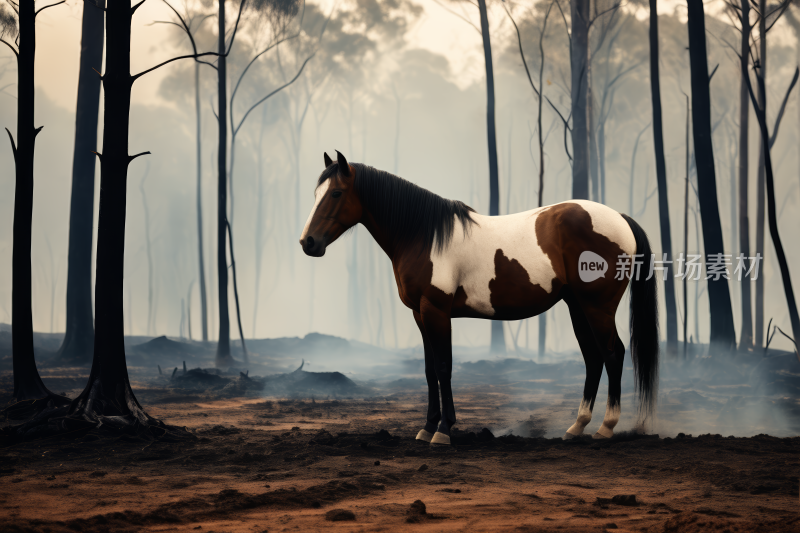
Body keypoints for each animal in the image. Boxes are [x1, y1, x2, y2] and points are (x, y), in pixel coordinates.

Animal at [298, 151, 656, 444]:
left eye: (336, 193)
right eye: (316, 194)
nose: (307, 242)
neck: (423, 235)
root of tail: (621, 218)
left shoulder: (436, 310)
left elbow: (444, 367)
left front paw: (443, 431)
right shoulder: (419, 314)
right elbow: (429, 369)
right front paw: (427, 428)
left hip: (597, 307)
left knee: (613, 354)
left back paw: (605, 428)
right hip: (577, 306)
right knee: (593, 358)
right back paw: (576, 427)